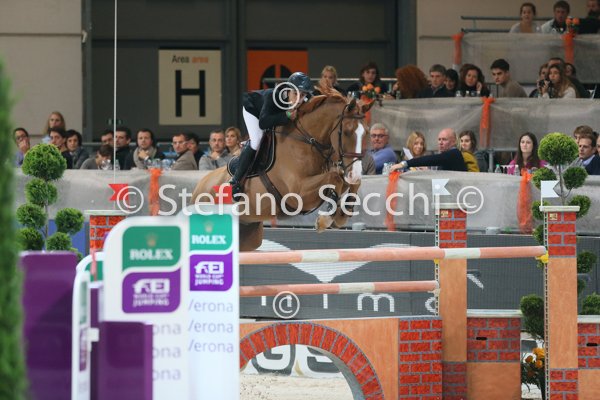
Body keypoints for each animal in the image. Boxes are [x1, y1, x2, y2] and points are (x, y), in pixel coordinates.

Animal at [191, 89, 374, 251]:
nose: (355, 172)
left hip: (249, 235)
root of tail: (198, 188)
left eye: (367, 133)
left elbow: (348, 182)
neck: (307, 142)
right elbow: (335, 178)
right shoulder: (298, 193)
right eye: (347, 132)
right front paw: (325, 219)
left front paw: (342, 214)